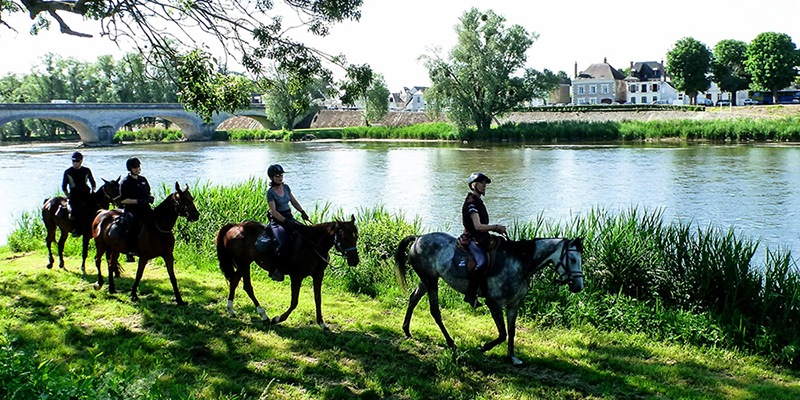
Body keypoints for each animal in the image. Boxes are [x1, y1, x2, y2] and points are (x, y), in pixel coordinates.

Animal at [216, 217, 360, 330]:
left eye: (356, 236)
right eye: (344, 237)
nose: (354, 260)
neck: (313, 244)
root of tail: (234, 226)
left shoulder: (318, 275)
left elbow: (318, 299)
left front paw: (322, 324)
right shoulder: (297, 276)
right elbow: (294, 302)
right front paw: (277, 319)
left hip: (243, 264)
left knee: (235, 281)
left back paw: (232, 310)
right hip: (243, 263)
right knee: (247, 286)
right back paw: (263, 314)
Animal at [396, 231, 584, 366]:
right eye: (572, 259)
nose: (578, 287)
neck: (520, 262)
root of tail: (418, 238)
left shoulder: (513, 305)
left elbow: (511, 331)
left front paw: (512, 357)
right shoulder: (494, 303)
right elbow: (502, 334)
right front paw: (484, 347)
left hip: (426, 280)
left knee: (413, 299)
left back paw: (406, 329)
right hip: (431, 280)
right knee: (435, 311)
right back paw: (451, 343)